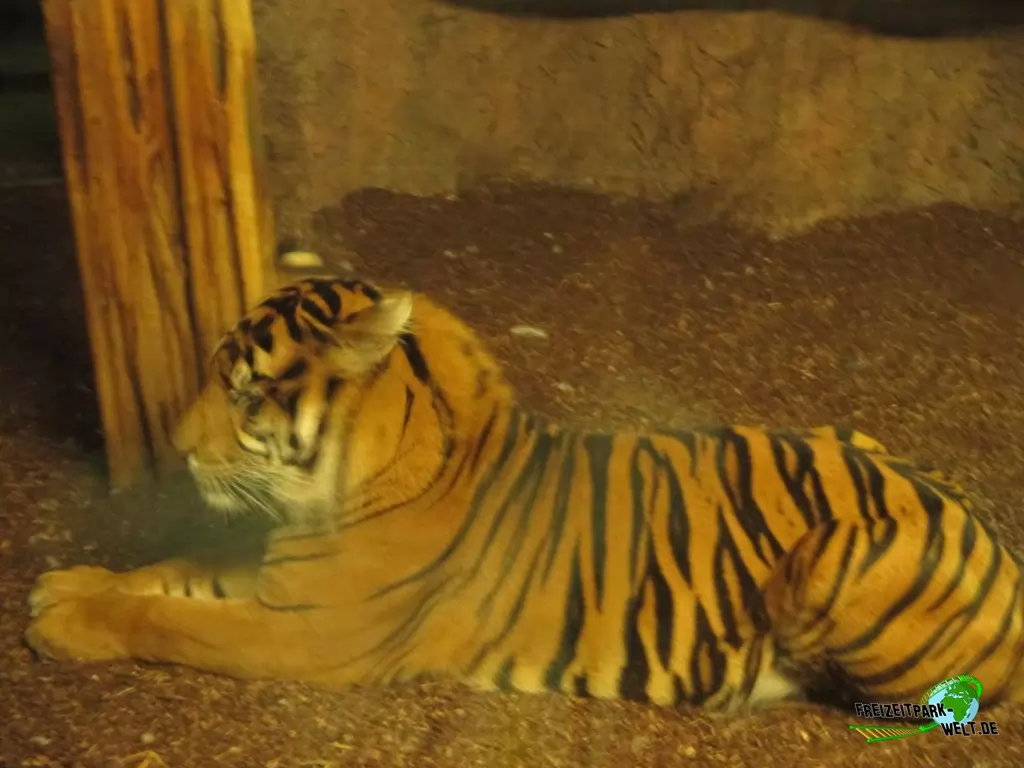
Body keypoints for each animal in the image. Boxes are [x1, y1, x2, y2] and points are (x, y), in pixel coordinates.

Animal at [24, 267, 1024, 715]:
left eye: (242, 392)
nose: (178, 448)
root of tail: (995, 537)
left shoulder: (317, 633)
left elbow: (175, 618)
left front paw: (64, 622)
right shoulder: (282, 575)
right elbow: (173, 569)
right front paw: (67, 587)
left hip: (834, 558)